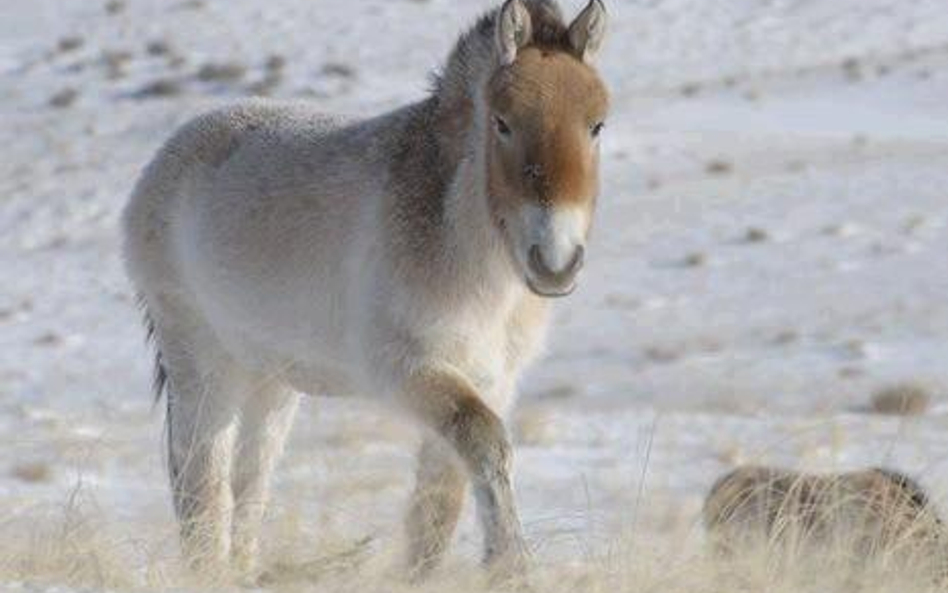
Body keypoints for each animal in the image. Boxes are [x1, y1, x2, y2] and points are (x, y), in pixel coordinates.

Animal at [124, 0, 608, 576]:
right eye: (503, 123)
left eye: (596, 125)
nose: (555, 262)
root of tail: (166, 160)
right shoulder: (412, 372)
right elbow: (485, 444)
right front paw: (510, 566)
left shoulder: (489, 379)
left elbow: (438, 505)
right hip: (203, 365)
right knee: (203, 484)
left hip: (271, 382)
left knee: (249, 485)